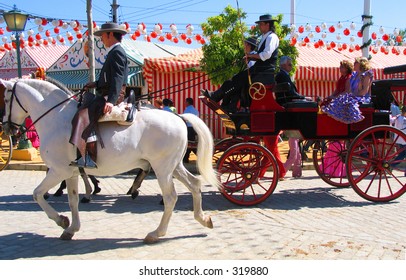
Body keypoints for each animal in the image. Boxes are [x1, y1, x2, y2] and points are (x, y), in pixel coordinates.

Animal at [0, 78, 219, 243]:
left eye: (5, 98)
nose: (6, 128)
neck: (56, 118)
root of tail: (178, 117)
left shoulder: (58, 170)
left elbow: (37, 194)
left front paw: (61, 220)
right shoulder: (70, 172)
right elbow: (72, 200)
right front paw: (71, 227)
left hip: (163, 169)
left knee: (171, 197)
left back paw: (156, 233)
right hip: (174, 166)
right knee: (195, 184)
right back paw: (203, 218)